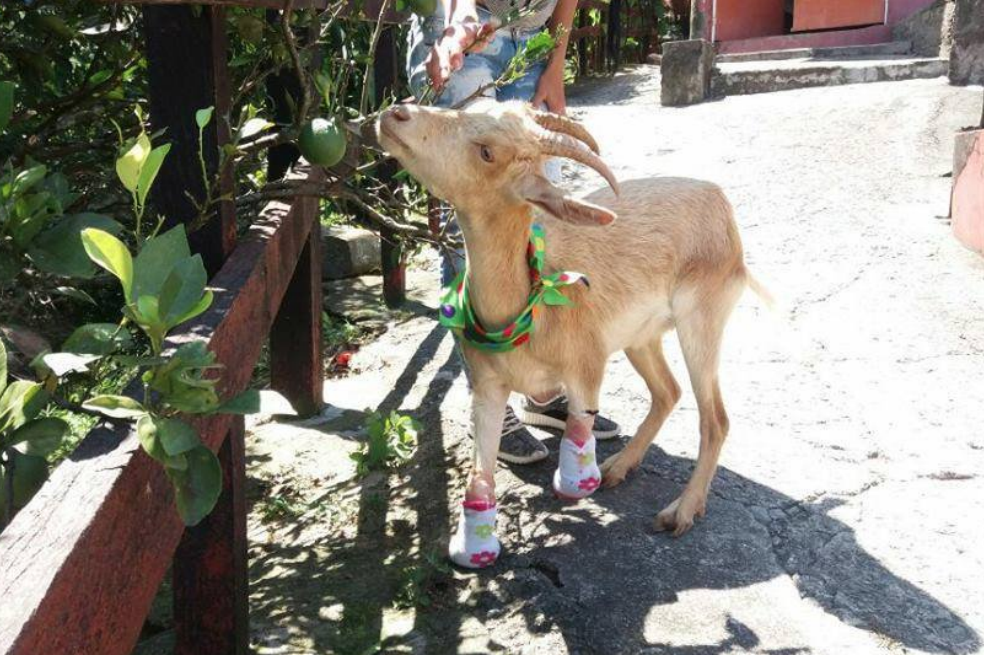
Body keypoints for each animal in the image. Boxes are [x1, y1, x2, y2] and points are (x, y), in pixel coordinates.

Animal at [377, 99, 764, 568]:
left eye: (487, 152)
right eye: (466, 107)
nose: (396, 114)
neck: (528, 304)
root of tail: (718, 199)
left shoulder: (586, 367)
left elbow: (578, 436)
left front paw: (578, 484)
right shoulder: (487, 387)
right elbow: (478, 474)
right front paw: (473, 549)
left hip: (702, 318)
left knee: (715, 417)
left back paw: (682, 510)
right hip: (640, 336)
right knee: (668, 391)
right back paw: (619, 467)